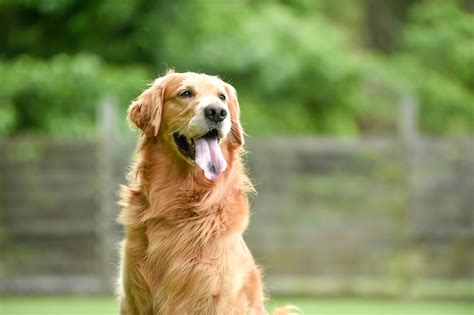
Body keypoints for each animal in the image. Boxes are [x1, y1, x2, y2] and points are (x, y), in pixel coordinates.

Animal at [116, 71, 296, 315]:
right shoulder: (135, 298)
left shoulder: (217, 297)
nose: (218, 112)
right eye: (185, 93)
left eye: (222, 97)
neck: (182, 201)